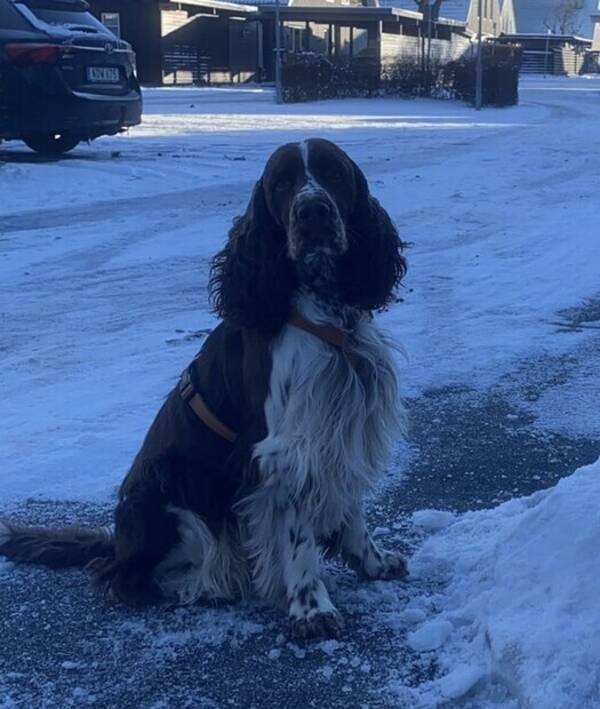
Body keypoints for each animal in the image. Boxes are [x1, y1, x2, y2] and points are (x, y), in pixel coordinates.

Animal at [0, 137, 408, 636]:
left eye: (333, 172)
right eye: (282, 182)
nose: (312, 212)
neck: (327, 312)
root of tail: (117, 542)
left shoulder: (344, 426)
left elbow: (353, 510)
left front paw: (374, 562)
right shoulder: (286, 449)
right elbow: (298, 539)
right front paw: (312, 608)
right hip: (173, 486)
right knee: (127, 578)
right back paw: (212, 582)